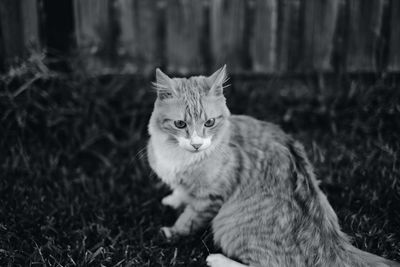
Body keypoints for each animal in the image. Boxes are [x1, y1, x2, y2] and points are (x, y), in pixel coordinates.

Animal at [148, 65, 400, 267]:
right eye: (180, 124)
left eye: (209, 123)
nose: (197, 144)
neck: (178, 156)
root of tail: (332, 241)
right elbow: (181, 191)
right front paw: (174, 198)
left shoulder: (210, 198)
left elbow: (188, 220)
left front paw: (172, 232)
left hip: (227, 225)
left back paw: (218, 260)